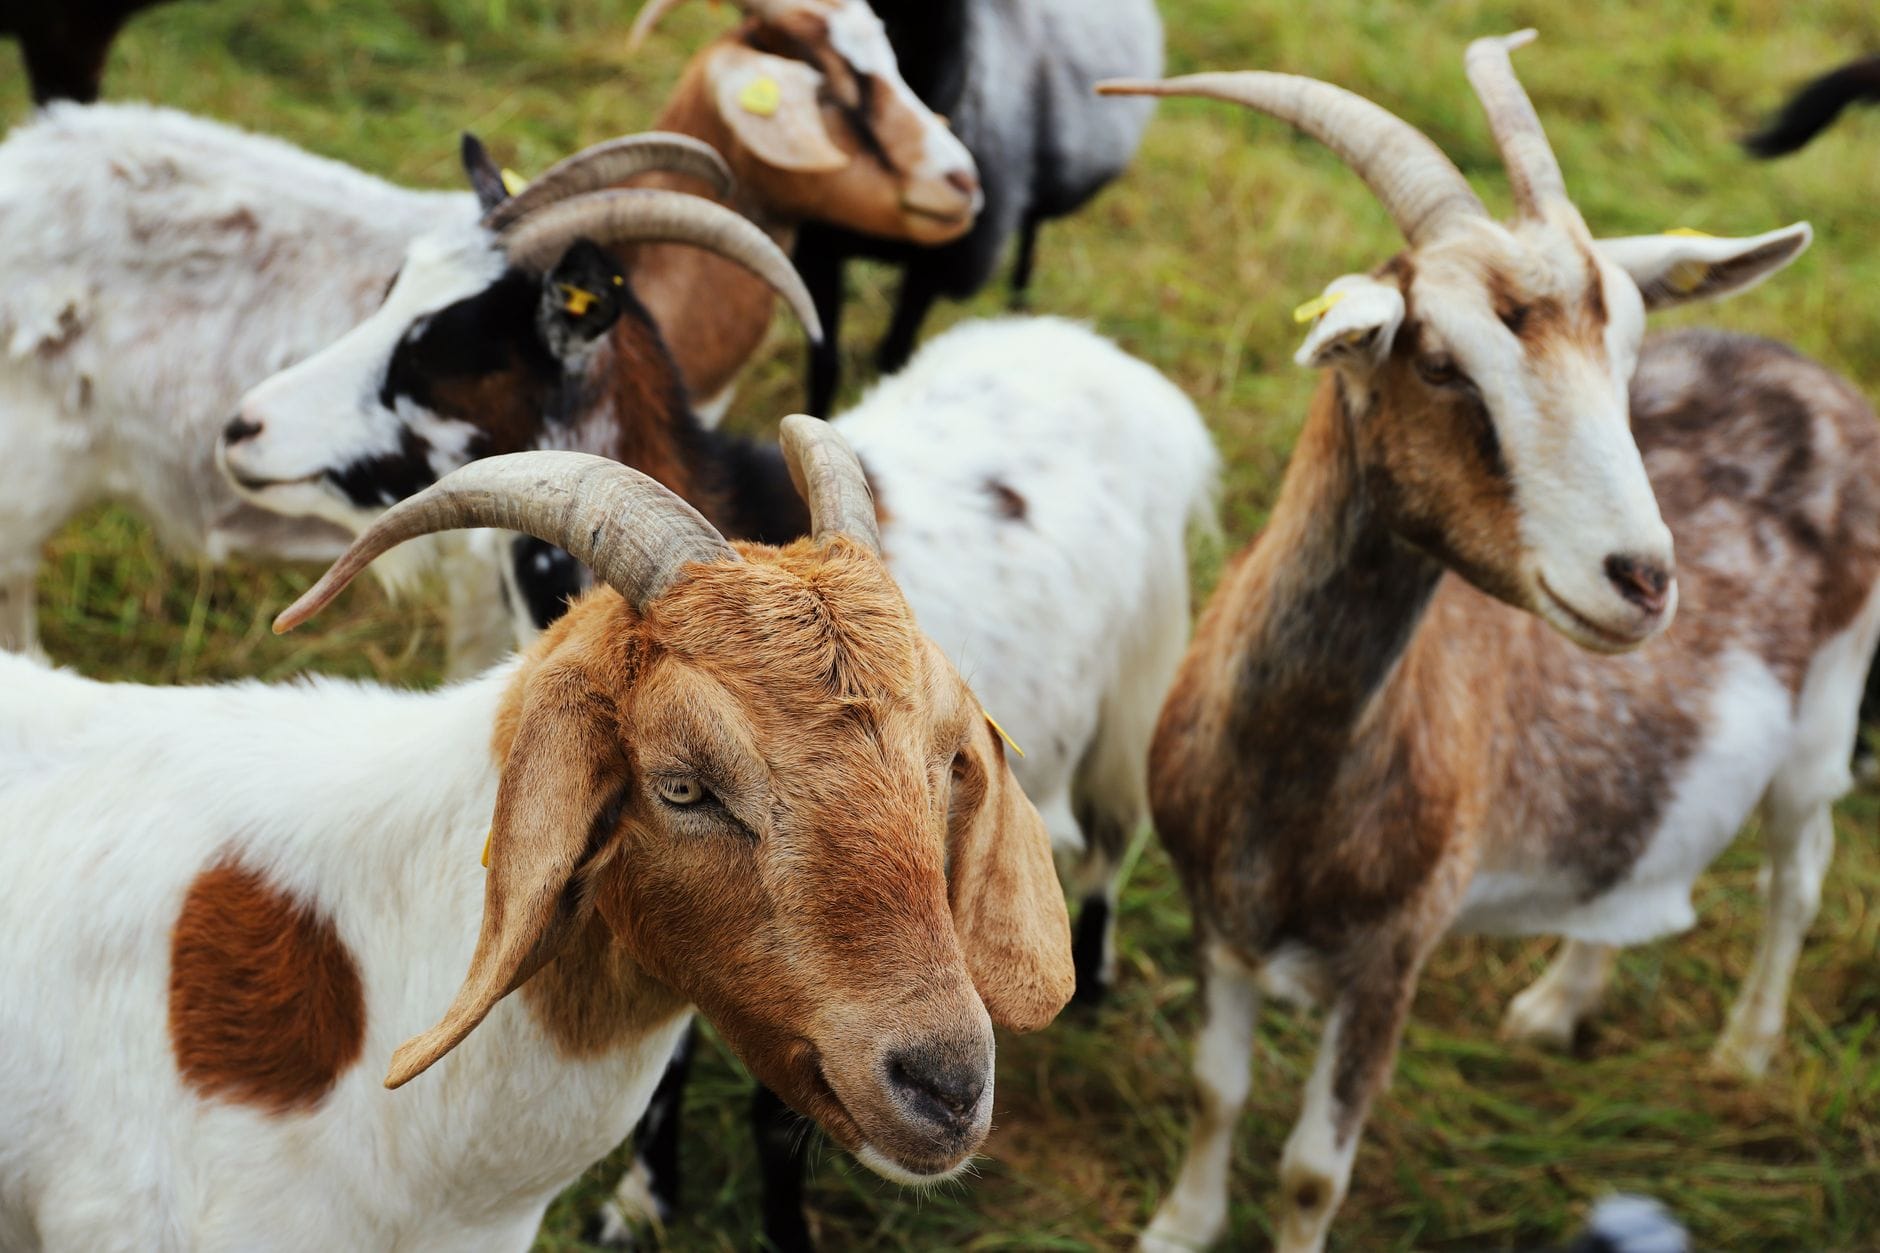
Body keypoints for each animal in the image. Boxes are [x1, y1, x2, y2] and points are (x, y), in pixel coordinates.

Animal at [223, 162, 1216, 1249]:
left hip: (1137, 676)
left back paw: (1099, 977)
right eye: (395, 287)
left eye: (445, 339)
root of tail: (1094, 351)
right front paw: (641, 1198)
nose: (241, 427)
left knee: (1113, 833)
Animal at [632, 0, 1163, 418]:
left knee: (1031, 232)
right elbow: (825, 366)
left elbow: (894, 356)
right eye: (830, 92)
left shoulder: (931, 268)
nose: (963, 181)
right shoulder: (819, 258)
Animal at [1102, 31, 1870, 1253]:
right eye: (1440, 361)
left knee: (1795, 873)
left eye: (1626, 356)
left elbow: (1311, 1173)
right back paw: (1556, 1002)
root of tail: (1823, 381)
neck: (1293, 773)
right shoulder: (1217, 918)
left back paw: (1743, 1050)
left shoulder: (1392, 955)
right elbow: (1213, 1089)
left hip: (1826, 710)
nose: (1642, 579)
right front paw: (1178, 1225)